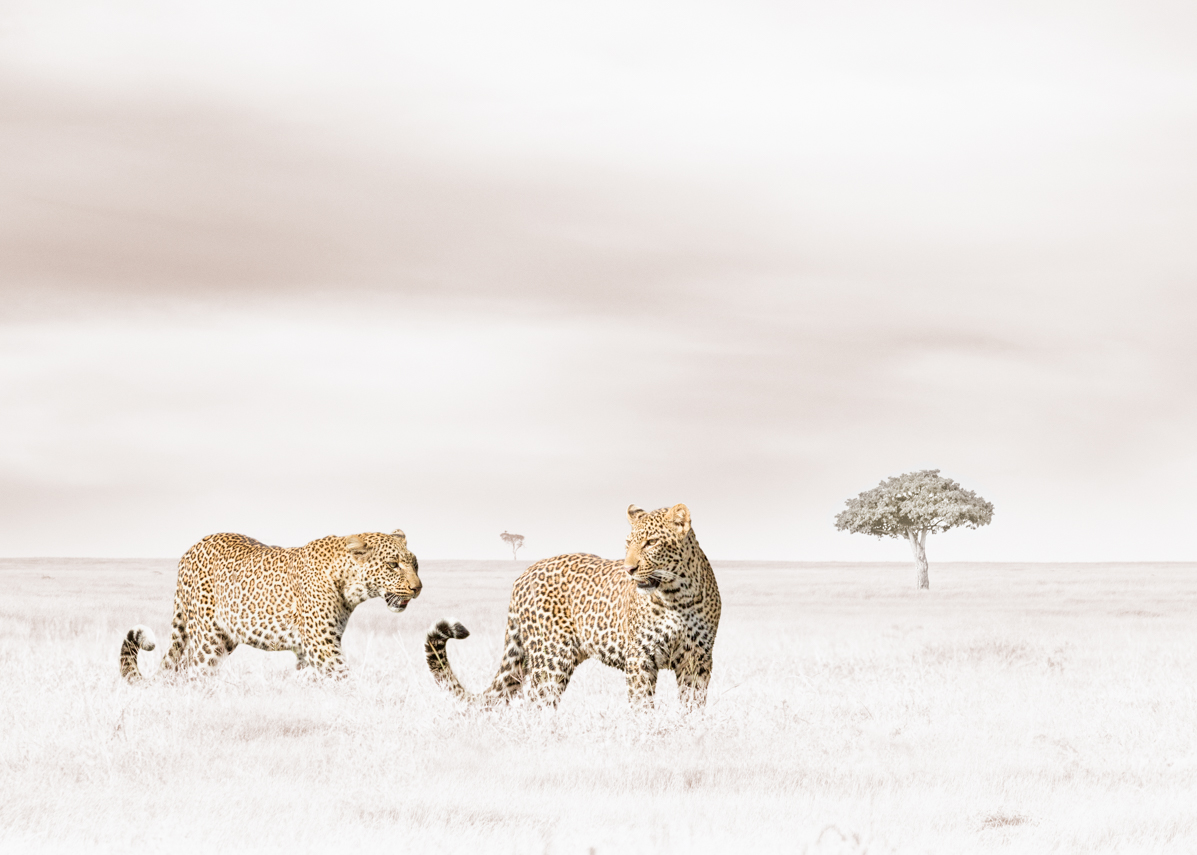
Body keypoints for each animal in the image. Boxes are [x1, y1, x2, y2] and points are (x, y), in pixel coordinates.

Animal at [120, 529, 421, 681]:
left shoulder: (310, 650)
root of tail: (187, 553)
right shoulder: (322, 646)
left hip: (224, 637)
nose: (417, 588)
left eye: (415, 564)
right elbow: (345, 679)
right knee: (195, 672)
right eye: (393, 565)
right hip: (206, 638)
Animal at [425, 503, 721, 708]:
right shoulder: (640, 657)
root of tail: (523, 574)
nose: (629, 569)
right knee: (536, 705)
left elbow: (693, 705)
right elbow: (642, 705)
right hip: (551, 658)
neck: (677, 596)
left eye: (651, 542)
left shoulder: (698, 659)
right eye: (628, 544)